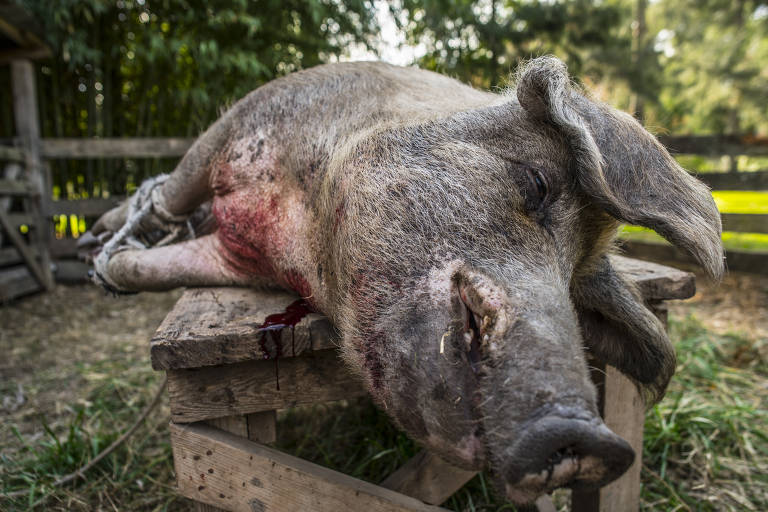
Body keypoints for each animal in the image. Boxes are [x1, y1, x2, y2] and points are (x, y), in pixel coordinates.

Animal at [81, 57, 724, 504]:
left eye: (573, 285)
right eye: (537, 185)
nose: (588, 437)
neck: (303, 239)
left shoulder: (237, 259)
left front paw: (110, 267)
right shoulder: (243, 121)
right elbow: (168, 201)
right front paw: (104, 265)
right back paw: (96, 238)